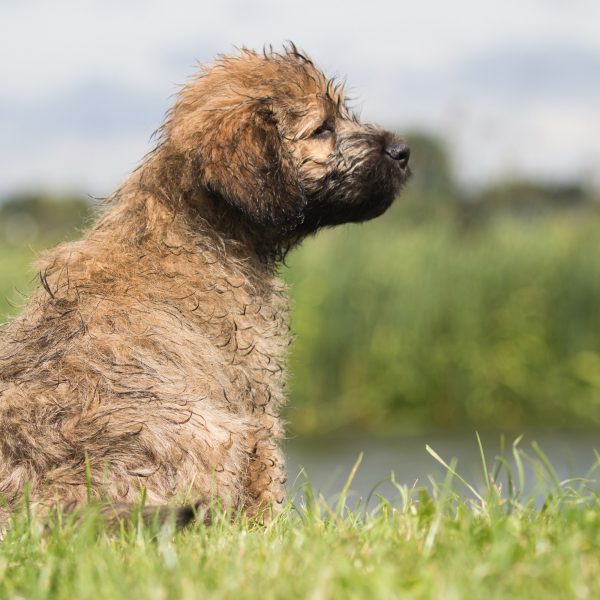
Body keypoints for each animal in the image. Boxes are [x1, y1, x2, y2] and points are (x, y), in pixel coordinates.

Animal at [0, 44, 408, 528]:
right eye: (322, 129)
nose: (404, 150)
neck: (200, 222)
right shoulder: (254, 396)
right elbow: (266, 479)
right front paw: (269, 533)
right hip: (213, 431)